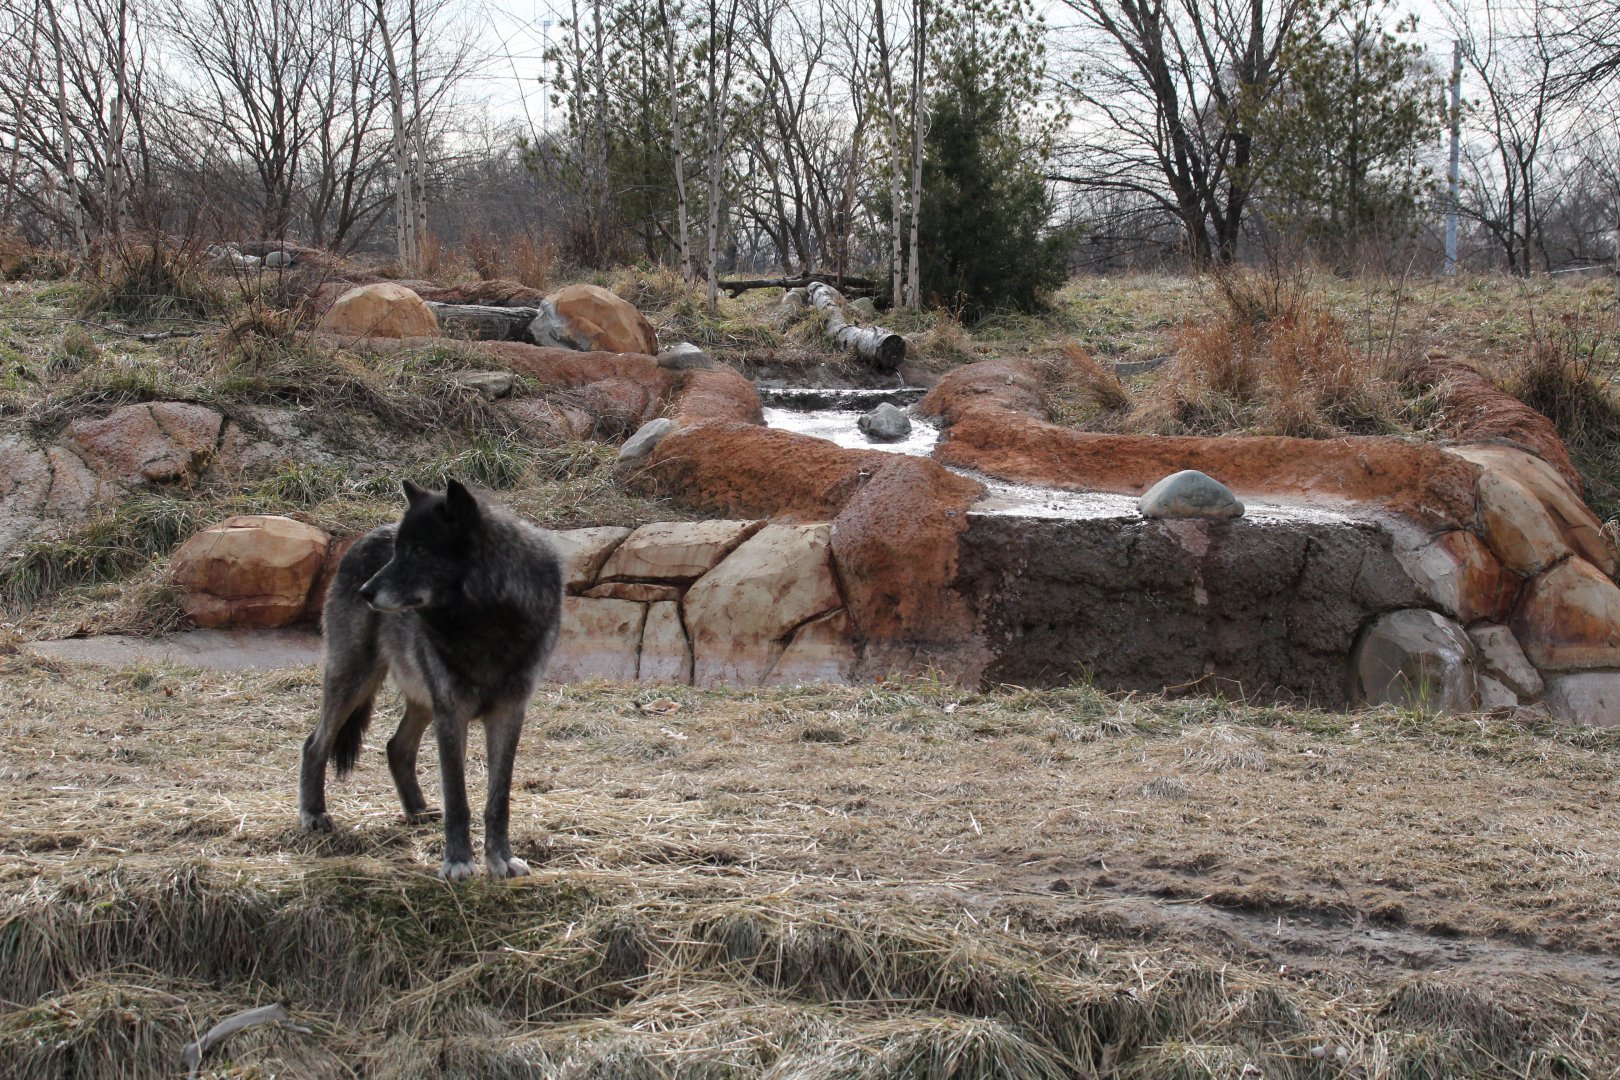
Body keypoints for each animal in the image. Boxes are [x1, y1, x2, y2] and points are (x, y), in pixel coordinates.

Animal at [298, 479, 563, 880]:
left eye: (420, 550)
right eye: (397, 551)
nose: (365, 592)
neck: (485, 620)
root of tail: (360, 539)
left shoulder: (509, 712)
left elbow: (498, 799)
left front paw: (500, 858)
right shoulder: (451, 712)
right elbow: (457, 798)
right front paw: (458, 861)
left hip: (421, 698)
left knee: (396, 746)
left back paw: (417, 810)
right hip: (355, 678)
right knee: (315, 743)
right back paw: (314, 814)